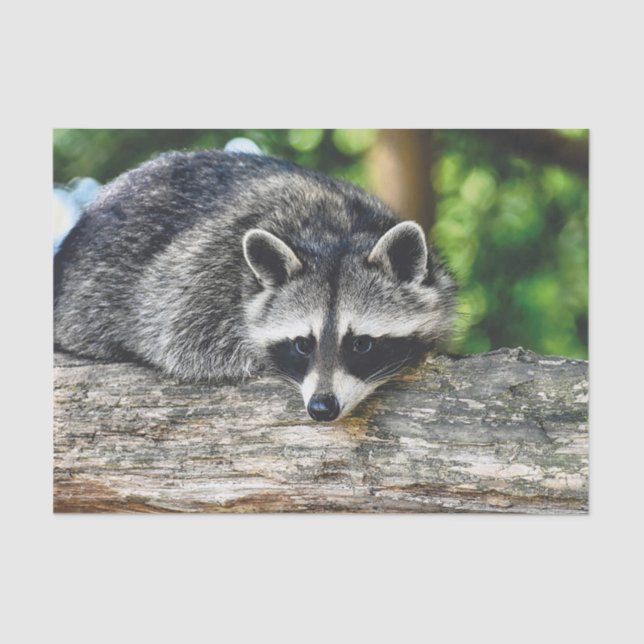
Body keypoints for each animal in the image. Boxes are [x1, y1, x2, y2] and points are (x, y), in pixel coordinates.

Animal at [54, 149, 456, 421]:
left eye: (361, 344)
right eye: (302, 344)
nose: (321, 407)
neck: (336, 231)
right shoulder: (197, 278)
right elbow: (178, 339)